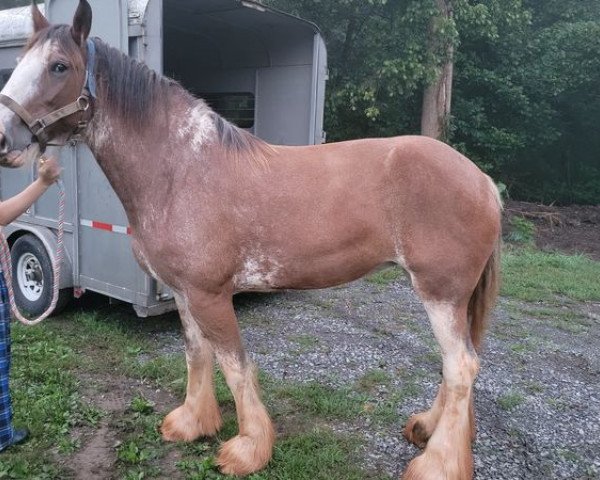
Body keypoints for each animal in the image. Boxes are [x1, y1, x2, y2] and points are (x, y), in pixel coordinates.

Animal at [0, 1, 502, 478]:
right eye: (19, 61)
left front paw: (247, 449)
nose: (5, 138)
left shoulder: (211, 295)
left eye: (59, 66)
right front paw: (192, 423)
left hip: (439, 293)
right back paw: (428, 431)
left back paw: (436, 465)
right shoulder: (183, 293)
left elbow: (235, 365)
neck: (179, 169)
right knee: (457, 365)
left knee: (461, 366)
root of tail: (482, 181)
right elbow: (196, 355)